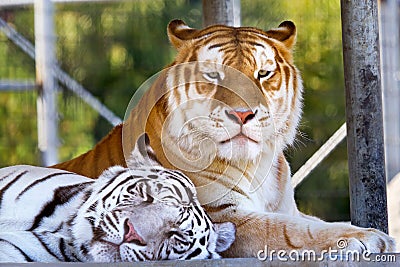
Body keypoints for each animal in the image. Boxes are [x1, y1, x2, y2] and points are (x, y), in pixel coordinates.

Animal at [54, 19, 396, 258]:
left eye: (263, 74)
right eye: (213, 75)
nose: (243, 114)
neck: (257, 166)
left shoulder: (286, 208)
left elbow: (310, 222)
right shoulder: (223, 216)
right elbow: (293, 232)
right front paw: (370, 237)